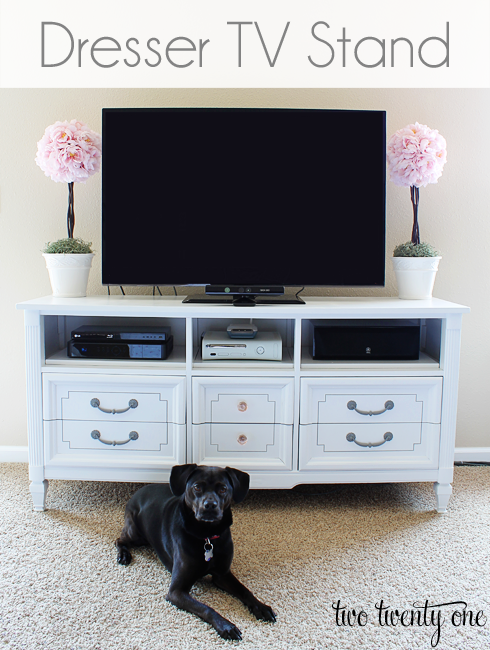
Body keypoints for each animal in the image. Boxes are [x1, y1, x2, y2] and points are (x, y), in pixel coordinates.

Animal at [115, 460, 276, 636]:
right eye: (197, 487)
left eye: (223, 489)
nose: (210, 505)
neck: (206, 535)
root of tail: (138, 492)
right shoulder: (176, 591)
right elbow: (206, 608)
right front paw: (226, 626)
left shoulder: (223, 575)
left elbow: (244, 590)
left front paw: (261, 607)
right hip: (136, 534)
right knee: (119, 539)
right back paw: (123, 555)